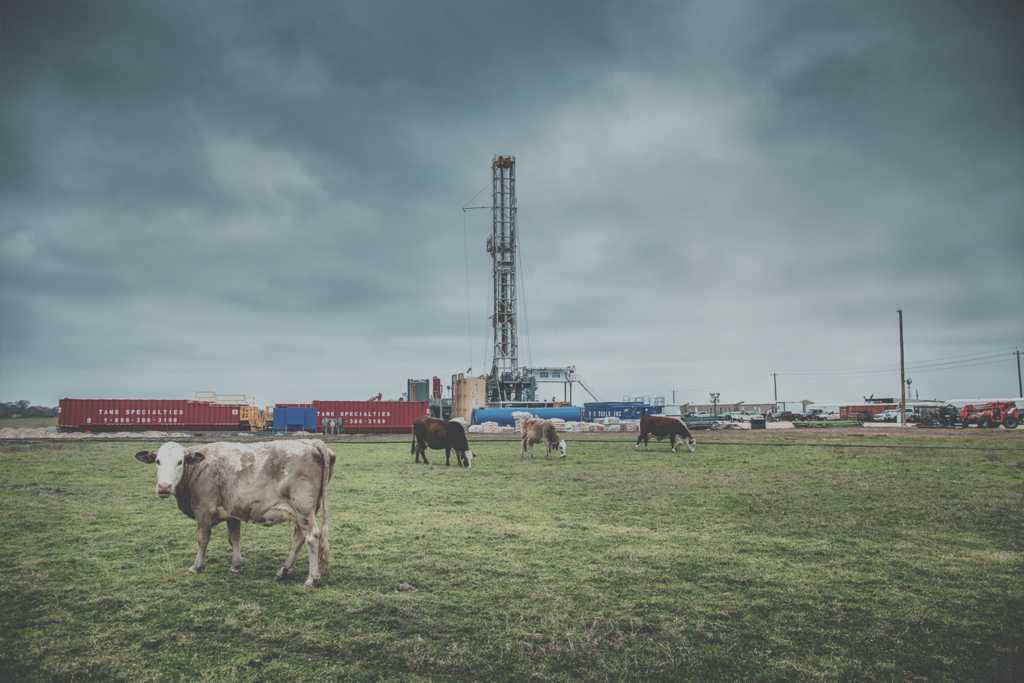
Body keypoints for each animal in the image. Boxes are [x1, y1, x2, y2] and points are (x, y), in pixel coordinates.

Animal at [135, 440, 335, 589]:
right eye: (157, 461)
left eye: (180, 462)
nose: (164, 487)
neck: (200, 468)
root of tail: (312, 442)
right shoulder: (232, 513)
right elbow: (234, 539)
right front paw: (236, 566)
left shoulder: (203, 510)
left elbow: (202, 540)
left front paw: (196, 566)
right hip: (303, 512)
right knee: (299, 539)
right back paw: (283, 571)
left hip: (303, 509)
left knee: (311, 537)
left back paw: (311, 578)